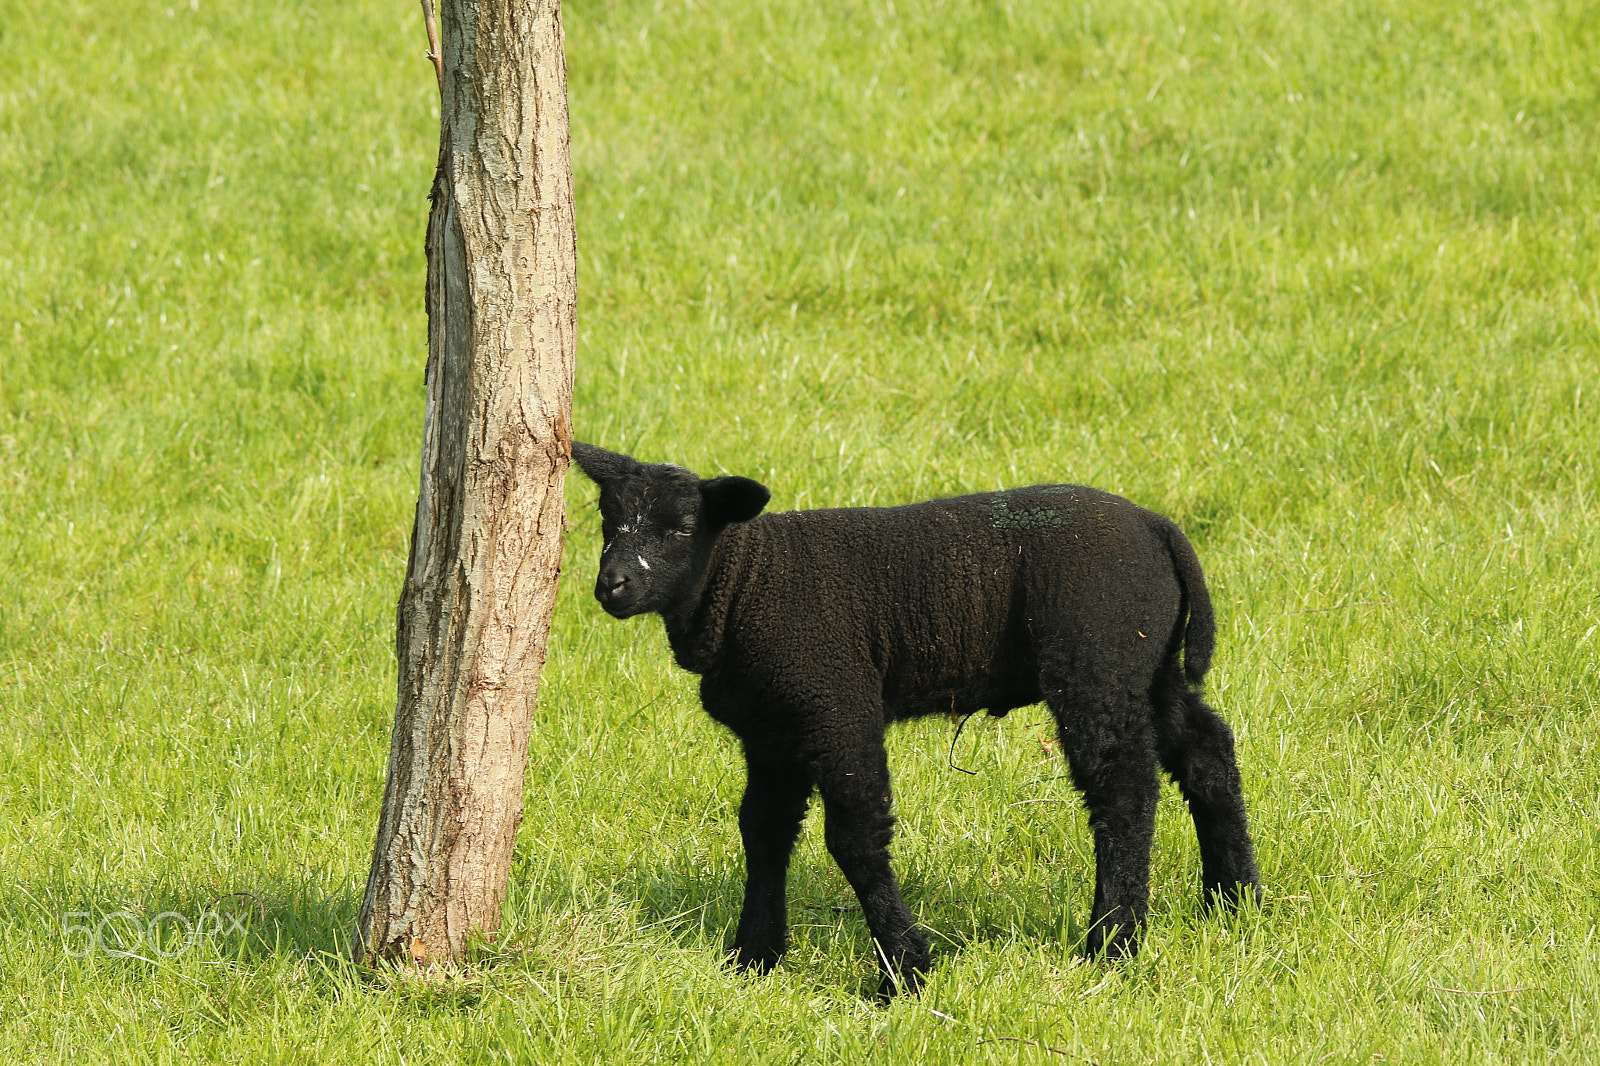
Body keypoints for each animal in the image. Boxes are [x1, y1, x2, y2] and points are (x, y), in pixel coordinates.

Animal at [569, 438, 1254, 985]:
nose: (611, 586)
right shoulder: (772, 734)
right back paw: (1234, 900)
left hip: (1097, 663)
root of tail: (1157, 526)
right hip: (1149, 668)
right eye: (606, 518)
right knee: (1206, 751)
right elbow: (763, 832)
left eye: (685, 526)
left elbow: (855, 839)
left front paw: (905, 970)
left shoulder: (838, 708)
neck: (744, 582)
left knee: (1123, 789)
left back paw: (1112, 942)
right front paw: (753, 957)